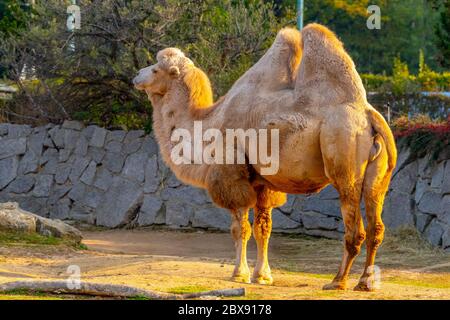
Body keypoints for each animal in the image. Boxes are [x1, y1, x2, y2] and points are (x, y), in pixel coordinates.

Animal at [134, 23, 398, 292]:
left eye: (155, 69)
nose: (136, 76)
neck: (208, 123)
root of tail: (368, 115)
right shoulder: (262, 182)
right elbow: (264, 228)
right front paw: (263, 275)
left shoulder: (233, 175)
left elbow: (240, 228)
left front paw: (239, 274)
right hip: (378, 176)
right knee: (376, 227)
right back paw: (365, 282)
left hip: (344, 157)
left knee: (354, 228)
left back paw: (337, 281)